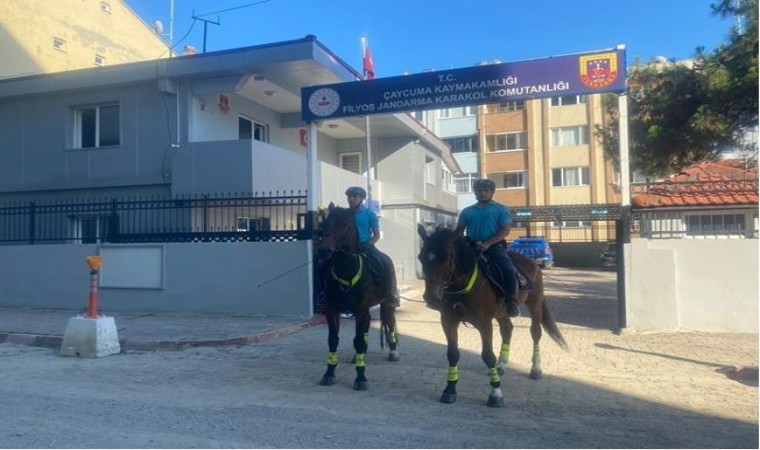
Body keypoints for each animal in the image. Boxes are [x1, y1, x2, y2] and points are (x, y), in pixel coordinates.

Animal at [314, 205, 400, 390]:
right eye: (326, 223)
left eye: (345, 225)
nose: (323, 250)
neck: (346, 270)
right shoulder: (332, 309)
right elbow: (333, 340)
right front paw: (329, 373)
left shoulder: (360, 310)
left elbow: (359, 340)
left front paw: (361, 378)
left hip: (386, 303)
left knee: (389, 322)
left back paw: (393, 350)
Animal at [416, 225, 568, 408]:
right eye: (421, 257)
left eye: (446, 258)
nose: (430, 298)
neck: (463, 286)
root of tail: (532, 263)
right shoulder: (448, 321)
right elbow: (452, 354)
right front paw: (449, 390)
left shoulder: (484, 324)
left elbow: (488, 355)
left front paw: (496, 394)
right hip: (502, 312)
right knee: (507, 329)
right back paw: (501, 365)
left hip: (535, 304)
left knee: (536, 333)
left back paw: (536, 369)